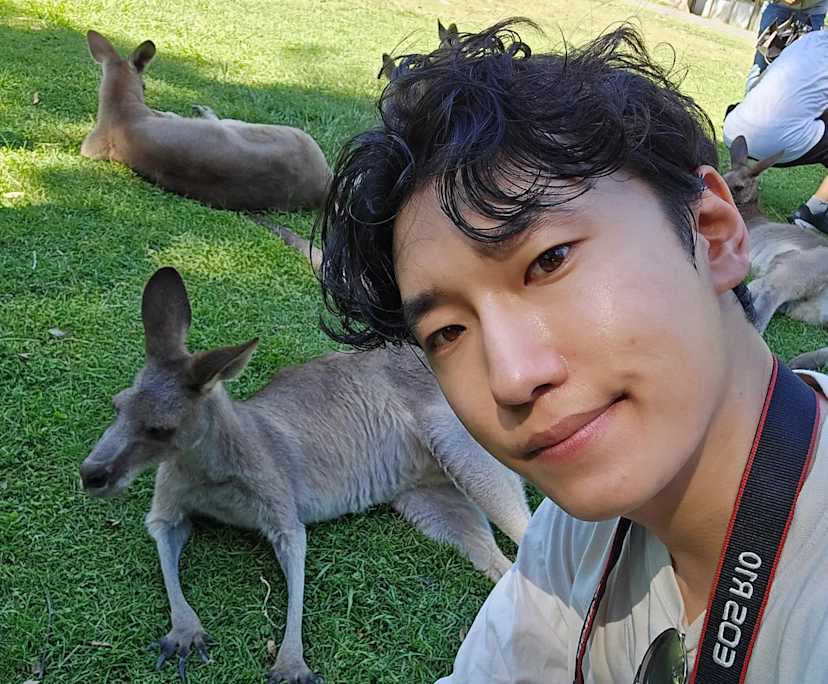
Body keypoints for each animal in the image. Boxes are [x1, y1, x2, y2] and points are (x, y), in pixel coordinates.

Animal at [79, 267, 531, 684]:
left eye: (160, 430)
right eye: (117, 407)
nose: (90, 475)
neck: (208, 466)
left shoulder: (276, 495)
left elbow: (295, 552)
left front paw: (291, 665)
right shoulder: (171, 497)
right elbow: (162, 533)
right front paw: (185, 631)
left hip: (457, 442)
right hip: (425, 499)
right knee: (497, 558)